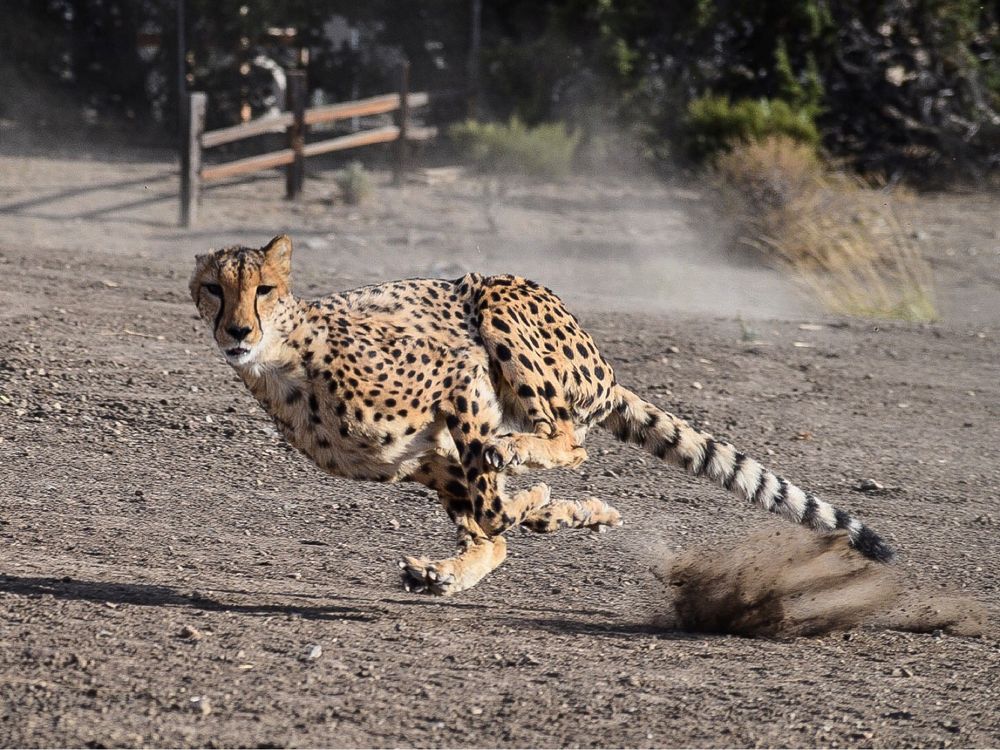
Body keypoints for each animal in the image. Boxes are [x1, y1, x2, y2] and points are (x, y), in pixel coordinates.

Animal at [190, 234, 895, 596]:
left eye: (262, 289)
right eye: (214, 289)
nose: (237, 330)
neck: (281, 357)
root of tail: (607, 367)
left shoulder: (461, 372)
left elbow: (498, 501)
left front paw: (547, 502)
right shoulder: (416, 457)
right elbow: (489, 516)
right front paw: (559, 513)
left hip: (499, 304)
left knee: (565, 439)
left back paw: (527, 467)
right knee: (496, 514)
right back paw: (447, 569)